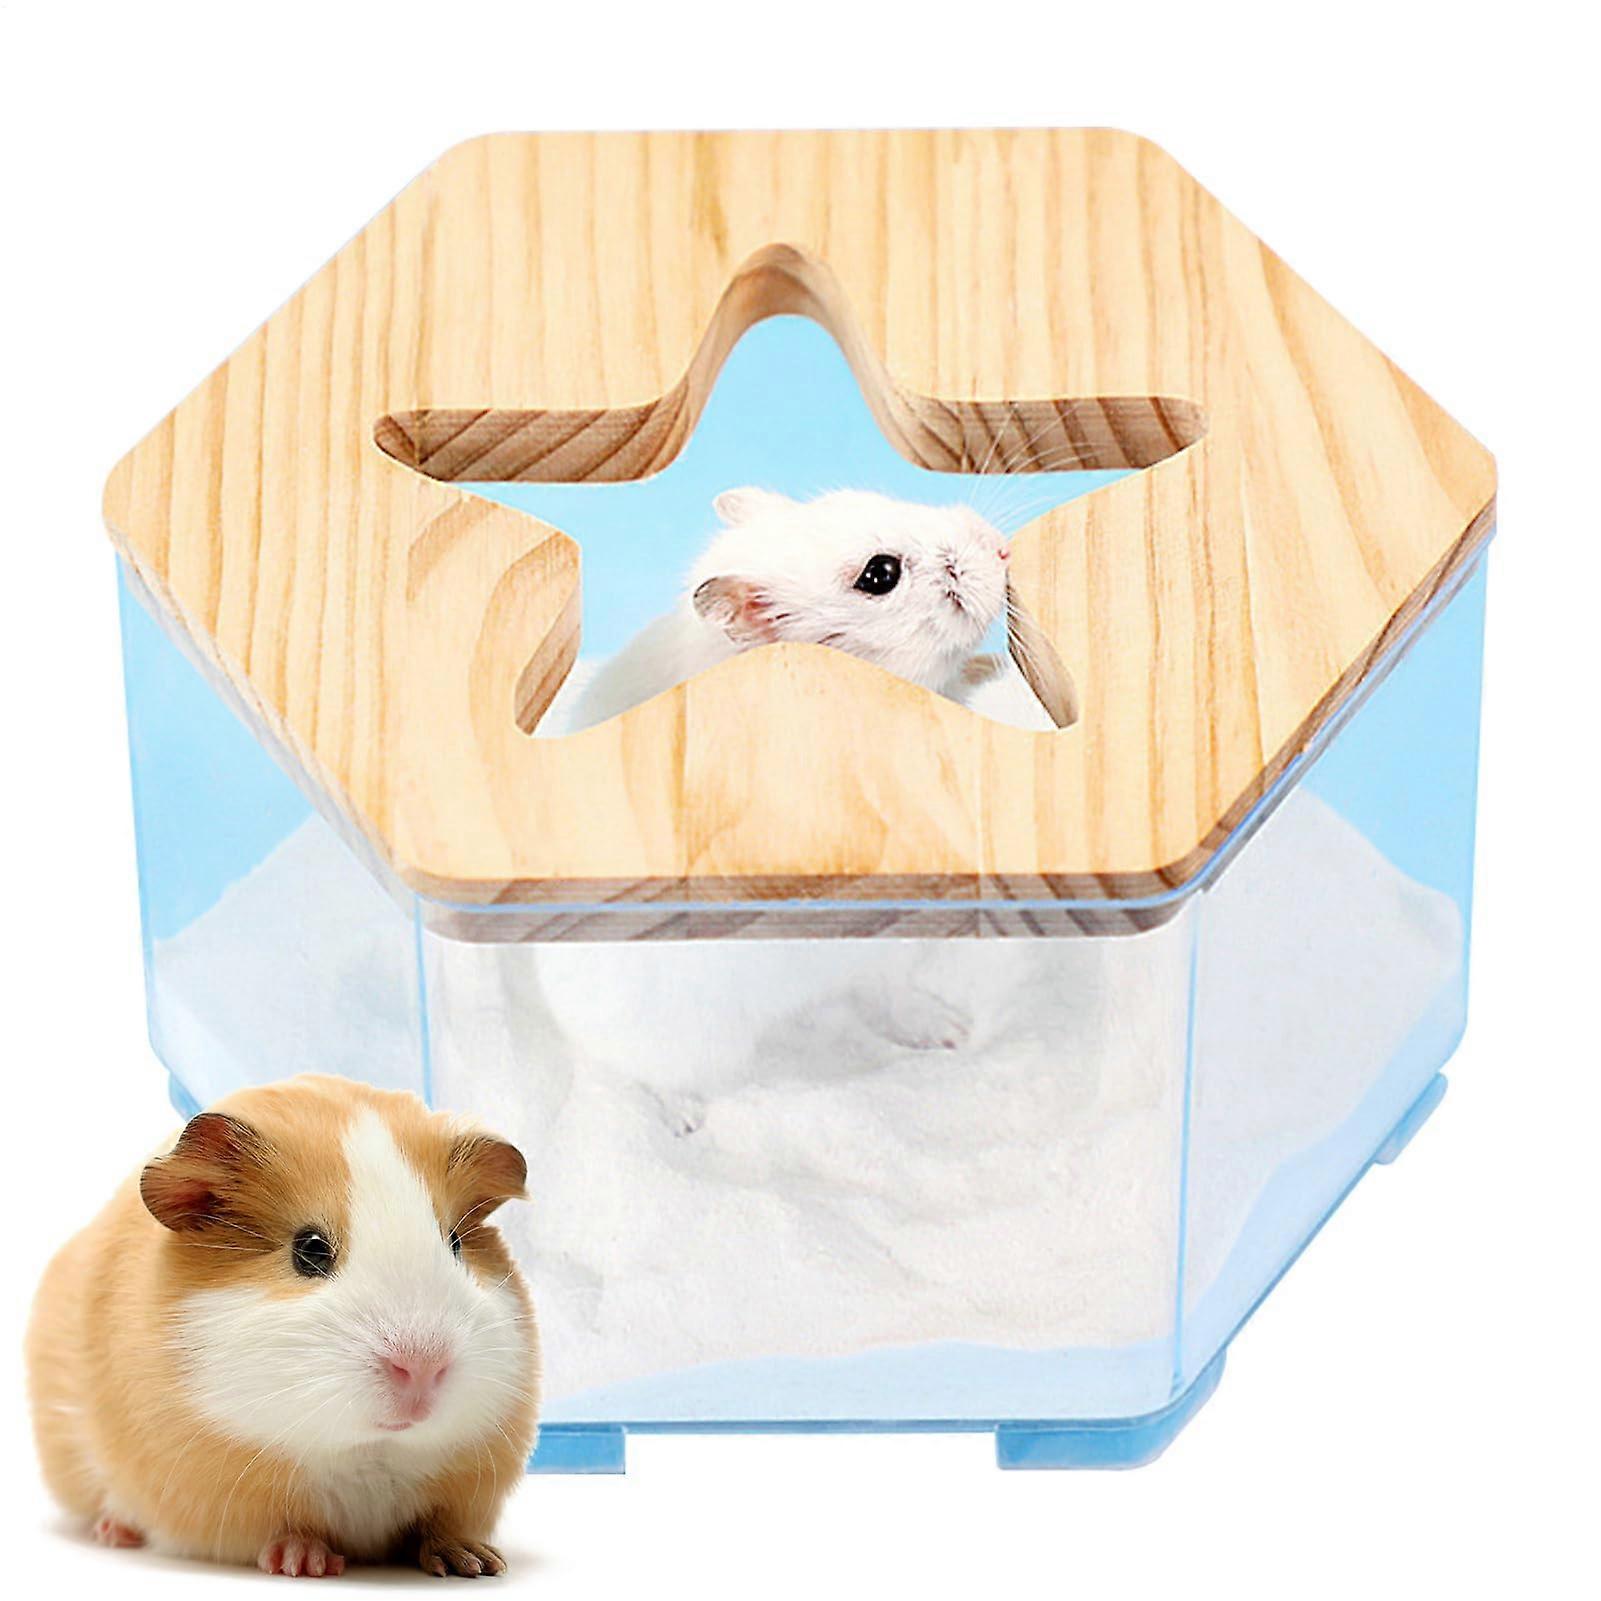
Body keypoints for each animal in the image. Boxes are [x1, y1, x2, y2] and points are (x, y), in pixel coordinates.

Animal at [26, 1074, 539, 1579]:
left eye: (455, 1244)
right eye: (309, 1249)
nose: (422, 1367)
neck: (368, 1453)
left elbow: (438, 1526)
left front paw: (477, 1563)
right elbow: (286, 1530)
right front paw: (307, 1563)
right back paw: (115, 1532)